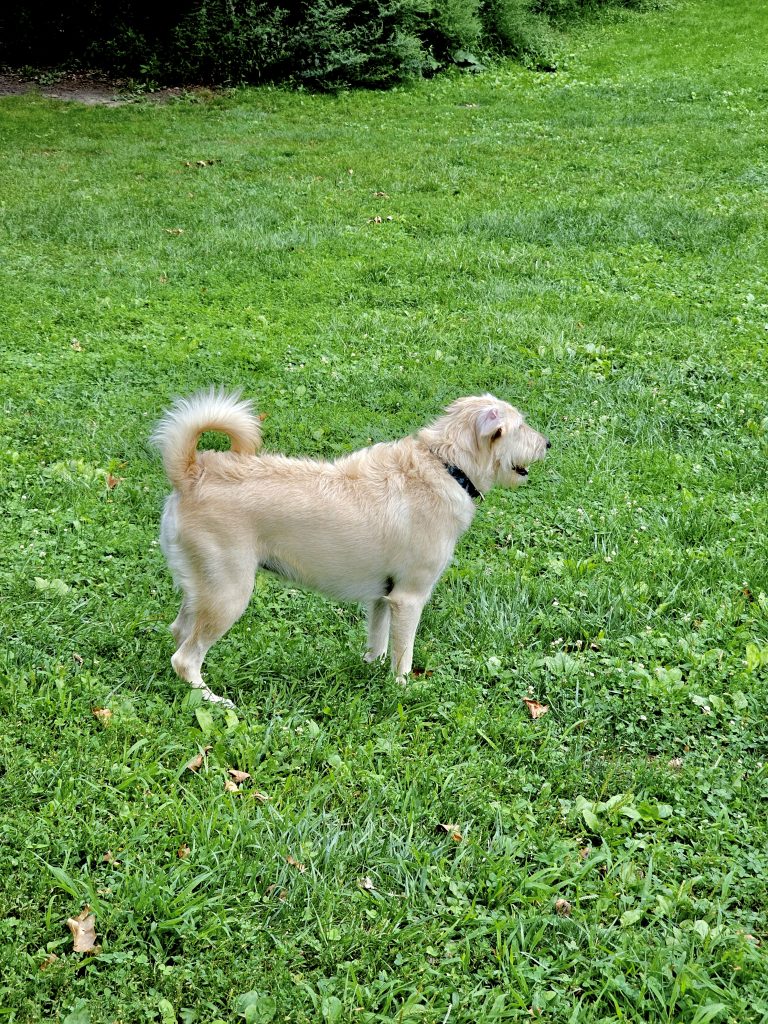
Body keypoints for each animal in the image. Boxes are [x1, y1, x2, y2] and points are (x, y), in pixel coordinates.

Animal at [153, 387, 548, 708]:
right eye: (521, 426)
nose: (549, 445)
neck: (446, 466)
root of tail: (192, 472)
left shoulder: (383, 598)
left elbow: (378, 644)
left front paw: (371, 673)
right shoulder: (409, 599)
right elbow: (403, 657)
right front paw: (403, 690)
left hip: (202, 589)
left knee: (179, 633)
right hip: (229, 594)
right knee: (185, 659)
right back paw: (212, 699)